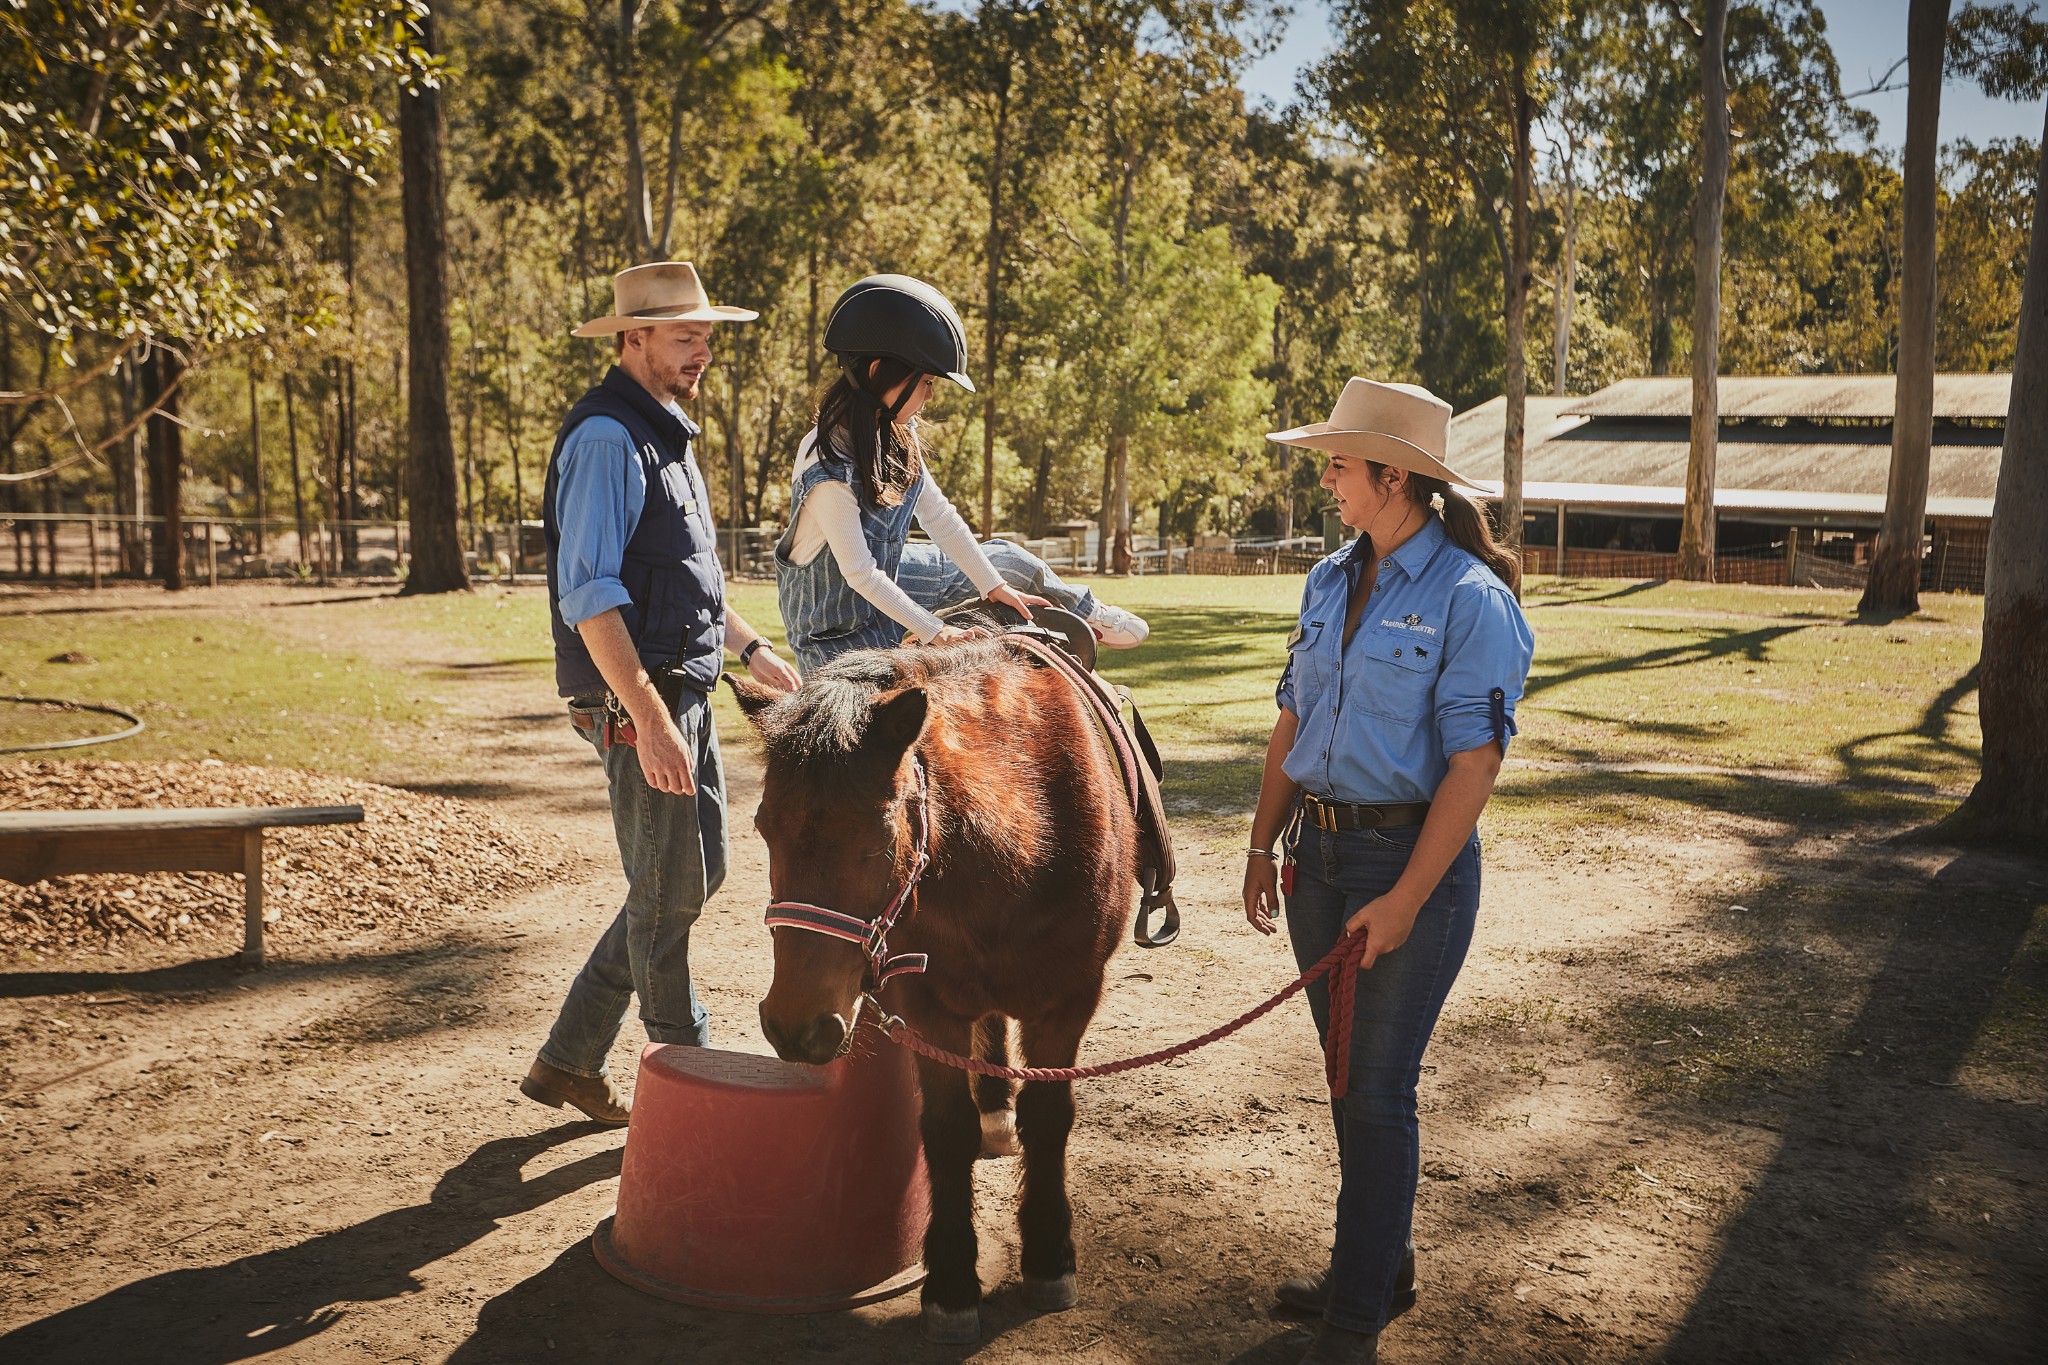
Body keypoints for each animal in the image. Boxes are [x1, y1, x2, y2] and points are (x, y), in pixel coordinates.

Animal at [729, 642, 1138, 1342]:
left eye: (876, 833)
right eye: (762, 827)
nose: (794, 1025)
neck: (1025, 836)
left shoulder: (1070, 1000)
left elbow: (1049, 1117)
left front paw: (1049, 1255)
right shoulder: (926, 1007)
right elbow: (946, 1130)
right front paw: (950, 1283)